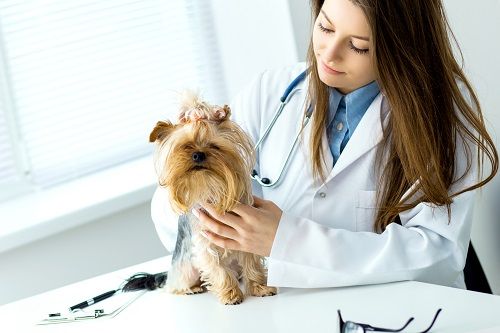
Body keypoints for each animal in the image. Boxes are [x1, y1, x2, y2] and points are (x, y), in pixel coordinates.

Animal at [148, 91, 278, 304]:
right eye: (186, 146)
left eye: (214, 146)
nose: (198, 154)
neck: (210, 186)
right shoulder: (204, 242)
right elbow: (216, 268)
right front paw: (231, 294)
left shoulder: (247, 238)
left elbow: (251, 262)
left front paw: (259, 286)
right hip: (184, 269)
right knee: (174, 285)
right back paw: (192, 288)